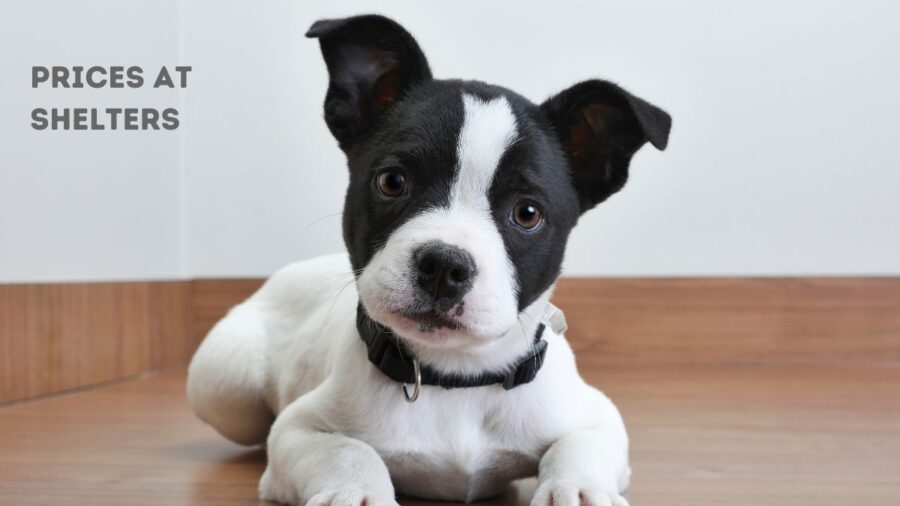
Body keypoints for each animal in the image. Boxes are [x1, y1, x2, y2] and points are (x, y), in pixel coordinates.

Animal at [188, 13, 668, 506]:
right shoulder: (298, 430)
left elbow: (577, 447)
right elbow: (347, 450)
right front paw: (356, 492)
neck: (458, 377)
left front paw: (576, 490)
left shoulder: (597, 417)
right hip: (225, 386)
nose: (444, 265)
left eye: (528, 213)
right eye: (392, 182)